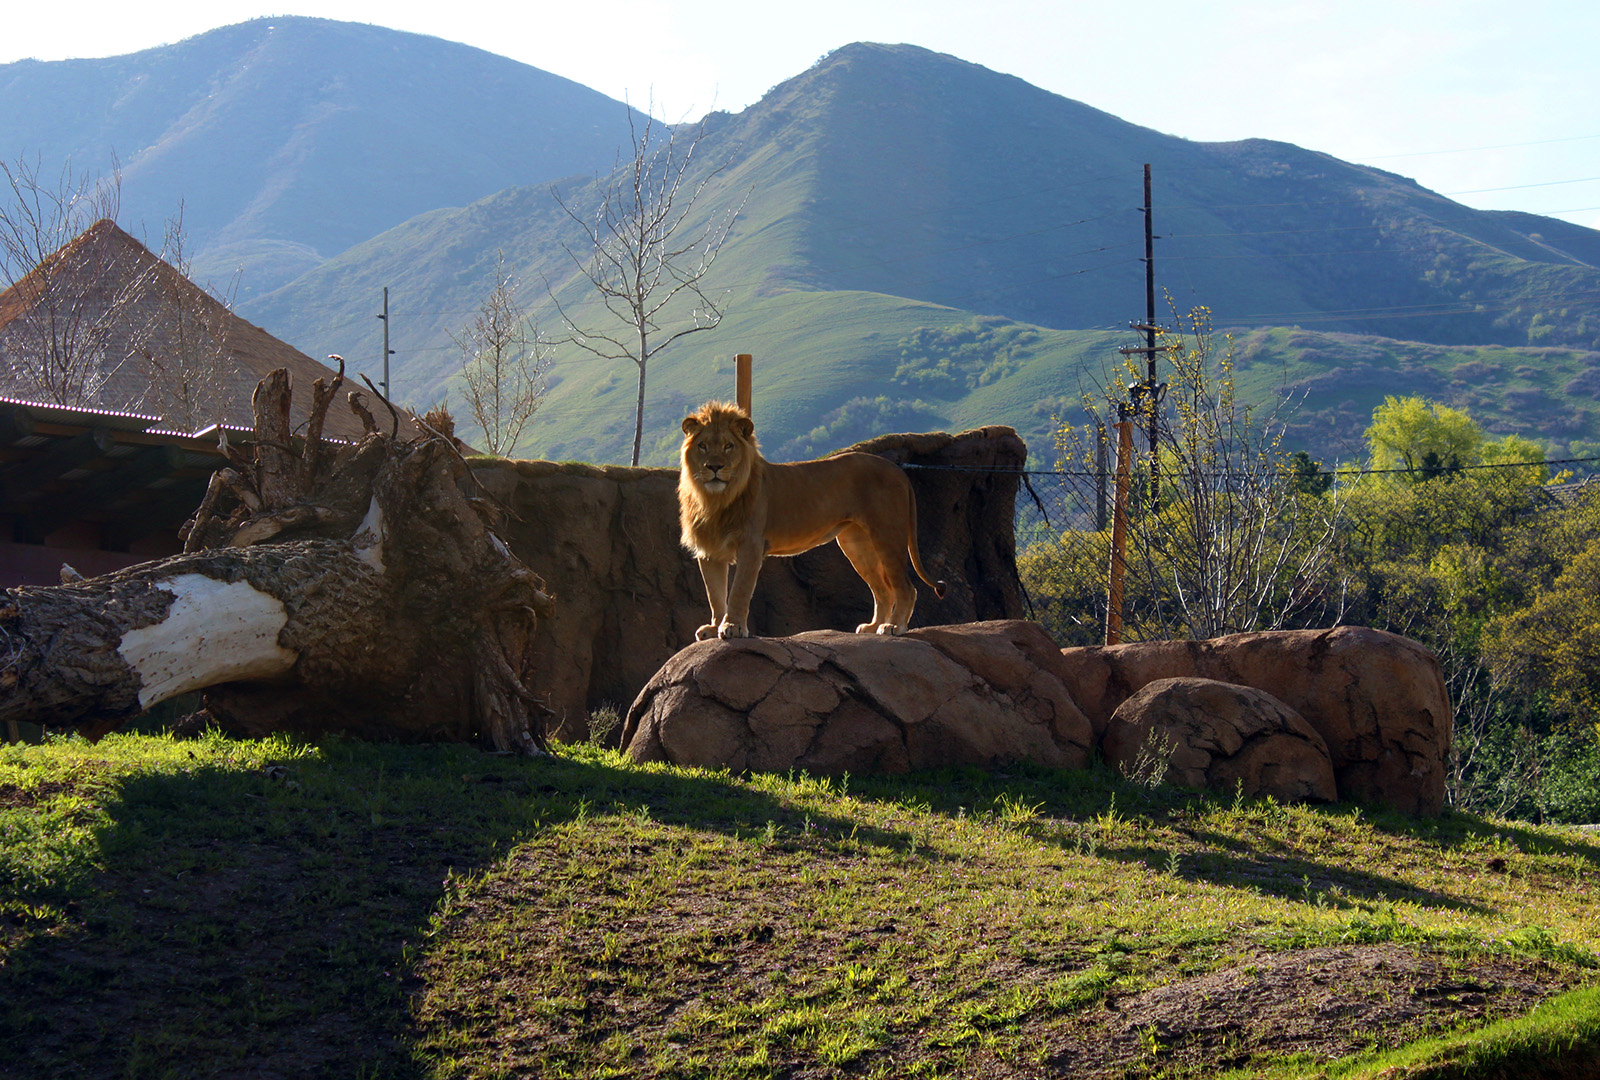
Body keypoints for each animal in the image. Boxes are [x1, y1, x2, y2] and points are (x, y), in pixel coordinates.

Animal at [678, 406, 947, 643]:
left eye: (728, 446)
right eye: (703, 446)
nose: (714, 467)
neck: (715, 499)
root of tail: (897, 470)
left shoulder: (751, 545)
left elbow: (738, 591)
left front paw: (733, 627)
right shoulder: (710, 551)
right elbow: (714, 594)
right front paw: (714, 628)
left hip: (887, 535)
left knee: (906, 588)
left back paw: (893, 626)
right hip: (856, 544)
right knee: (883, 589)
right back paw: (873, 627)